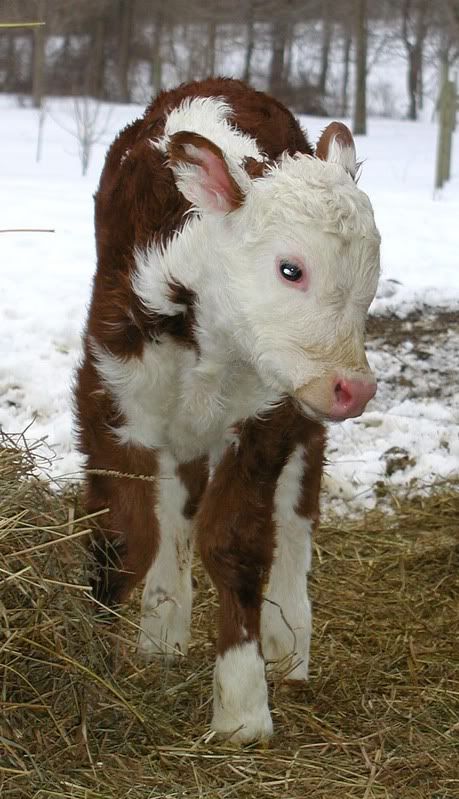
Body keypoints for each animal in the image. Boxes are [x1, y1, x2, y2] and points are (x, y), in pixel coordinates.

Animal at [75, 78, 380, 743]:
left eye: (372, 276)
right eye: (290, 269)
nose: (354, 388)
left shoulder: (269, 413)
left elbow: (236, 541)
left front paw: (242, 705)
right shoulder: (111, 391)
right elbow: (123, 534)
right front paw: (89, 660)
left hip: (305, 410)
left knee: (294, 512)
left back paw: (287, 640)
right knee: (178, 503)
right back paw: (163, 628)